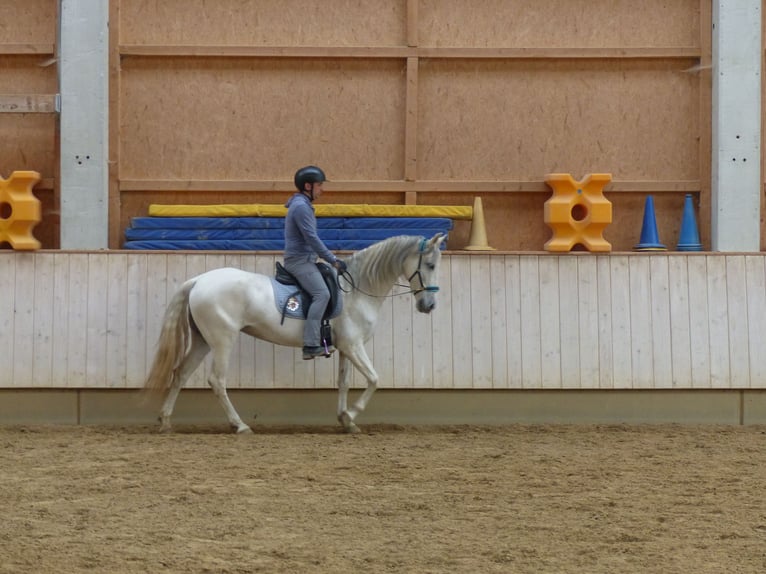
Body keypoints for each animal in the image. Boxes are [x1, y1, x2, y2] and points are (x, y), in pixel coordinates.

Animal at [143, 232, 447, 434]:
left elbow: (344, 382)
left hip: (203, 340)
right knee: (217, 381)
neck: (356, 290)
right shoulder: (354, 346)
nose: (429, 305)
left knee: (181, 374)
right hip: (222, 340)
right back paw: (239, 425)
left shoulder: (347, 348)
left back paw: (165, 421)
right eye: (430, 265)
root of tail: (198, 281)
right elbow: (374, 379)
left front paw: (345, 420)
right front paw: (352, 414)